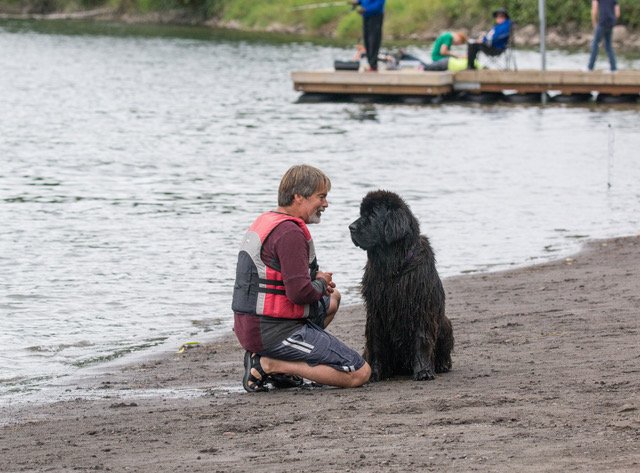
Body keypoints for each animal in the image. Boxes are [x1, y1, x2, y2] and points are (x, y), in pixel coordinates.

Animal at [349, 190, 454, 382]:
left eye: (373, 215)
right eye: (361, 214)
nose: (350, 227)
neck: (393, 266)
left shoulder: (421, 307)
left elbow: (422, 340)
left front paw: (423, 371)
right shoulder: (376, 312)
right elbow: (376, 344)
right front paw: (375, 372)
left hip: (444, 323)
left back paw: (441, 365)